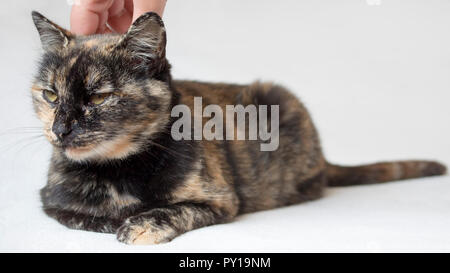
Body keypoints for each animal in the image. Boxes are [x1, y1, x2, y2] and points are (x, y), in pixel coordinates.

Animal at [31, 11, 446, 244]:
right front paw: (115, 219)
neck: (116, 171)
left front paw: (140, 225)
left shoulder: (219, 200)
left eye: (99, 97)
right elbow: (81, 216)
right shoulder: (51, 202)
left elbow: (173, 210)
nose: (61, 128)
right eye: (50, 94)